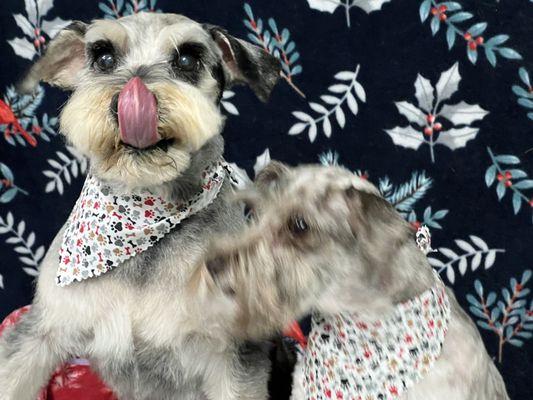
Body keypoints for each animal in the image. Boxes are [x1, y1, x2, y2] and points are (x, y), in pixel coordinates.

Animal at [0, 12, 280, 400]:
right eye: (103, 57)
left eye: (187, 59)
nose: (129, 103)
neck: (141, 216)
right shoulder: (42, 329)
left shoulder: (235, 354)